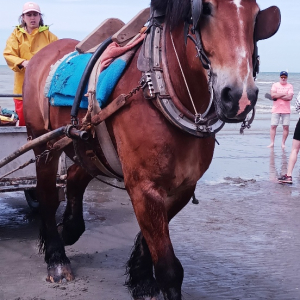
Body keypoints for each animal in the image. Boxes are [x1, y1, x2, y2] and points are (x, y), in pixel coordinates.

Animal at [22, 0, 280, 300]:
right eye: (204, 9)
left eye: (256, 16)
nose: (239, 97)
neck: (159, 86)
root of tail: (44, 52)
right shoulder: (143, 186)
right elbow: (169, 268)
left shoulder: (182, 187)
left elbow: (150, 242)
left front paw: (141, 278)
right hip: (44, 144)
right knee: (47, 196)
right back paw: (56, 257)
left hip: (89, 145)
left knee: (75, 176)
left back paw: (71, 228)